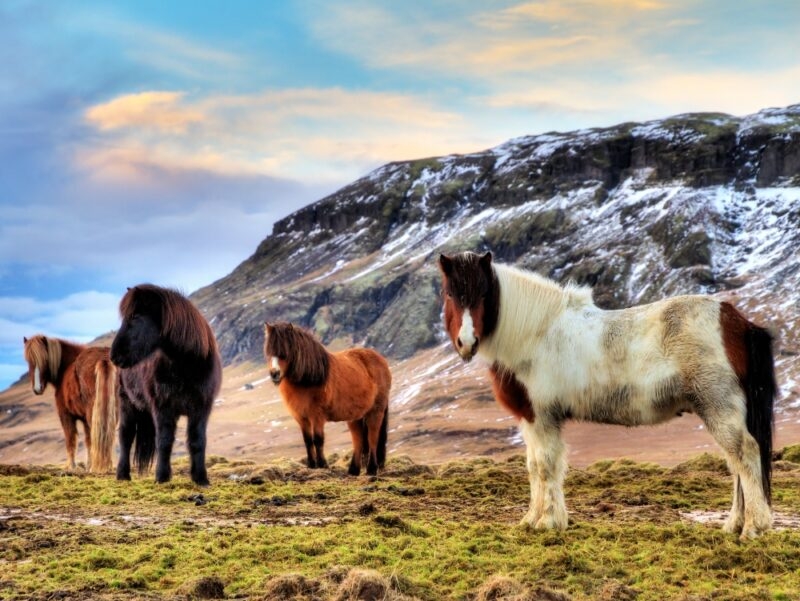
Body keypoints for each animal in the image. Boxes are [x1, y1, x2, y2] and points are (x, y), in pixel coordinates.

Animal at [22, 335, 118, 472]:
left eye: (45, 359)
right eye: (28, 361)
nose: (37, 388)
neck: (66, 367)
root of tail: (104, 359)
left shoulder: (65, 414)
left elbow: (71, 439)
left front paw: (72, 466)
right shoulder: (84, 419)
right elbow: (88, 440)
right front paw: (89, 465)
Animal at [110, 284, 222, 486]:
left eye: (135, 316)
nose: (114, 356)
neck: (186, 366)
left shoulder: (201, 408)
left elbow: (197, 440)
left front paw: (201, 478)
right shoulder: (163, 408)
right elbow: (164, 441)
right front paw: (162, 477)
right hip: (127, 404)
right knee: (126, 437)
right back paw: (123, 475)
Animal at [264, 322, 392, 476]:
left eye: (284, 352)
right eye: (269, 352)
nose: (274, 374)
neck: (310, 377)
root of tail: (382, 361)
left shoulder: (317, 416)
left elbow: (318, 439)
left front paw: (322, 465)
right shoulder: (301, 418)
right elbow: (308, 440)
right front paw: (312, 465)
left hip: (375, 411)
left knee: (372, 437)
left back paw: (371, 469)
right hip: (355, 416)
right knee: (358, 439)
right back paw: (353, 470)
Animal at [439, 250, 777, 539]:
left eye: (484, 293)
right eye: (450, 293)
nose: (466, 342)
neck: (536, 333)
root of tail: (734, 320)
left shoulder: (543, 417)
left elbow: (546, 466)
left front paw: (546, 522)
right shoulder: (530, 419)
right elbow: (535, 466)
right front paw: (533, 519)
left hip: (719, 407)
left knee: (745, 454)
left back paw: (754, 528)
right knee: (735, 463)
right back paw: (734, 525)